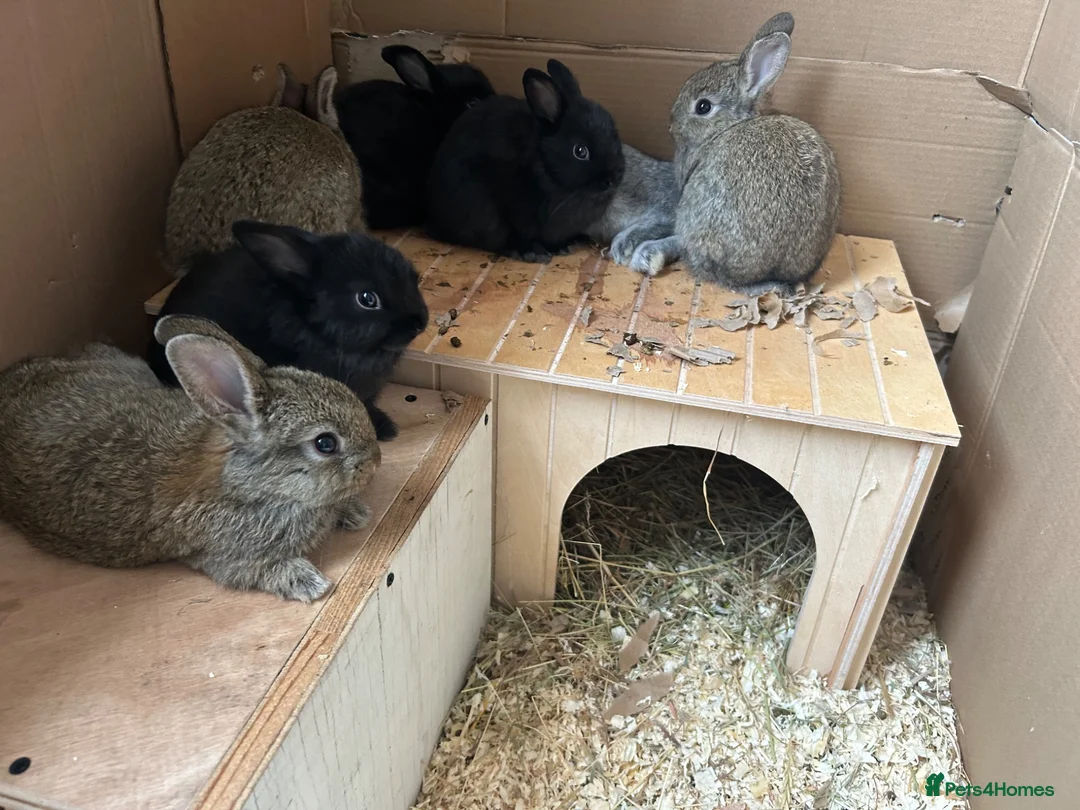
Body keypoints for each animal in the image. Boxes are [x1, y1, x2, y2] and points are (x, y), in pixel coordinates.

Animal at [0, 316, 381, 603]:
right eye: (325, 443)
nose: (376, 461)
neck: (260, 483)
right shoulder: (229, 557)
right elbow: (259, 571)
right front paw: (311, 583)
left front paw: (354, 512)